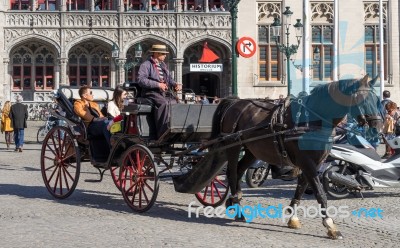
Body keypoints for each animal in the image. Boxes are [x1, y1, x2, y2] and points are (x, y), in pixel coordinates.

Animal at [211, 75, 382, 238]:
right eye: (364, 99)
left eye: (377, 100)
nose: (378, 127)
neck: (312, 119)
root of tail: (235, 102)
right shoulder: (306, 163)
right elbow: (319, 192)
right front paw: (330, 225)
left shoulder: (314, 163)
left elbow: (301, 188)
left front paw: (293, 218)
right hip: (233, 146)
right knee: (232, 173)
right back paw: (237, 207)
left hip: (252, 151)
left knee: (239, 171)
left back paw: (234, 201)